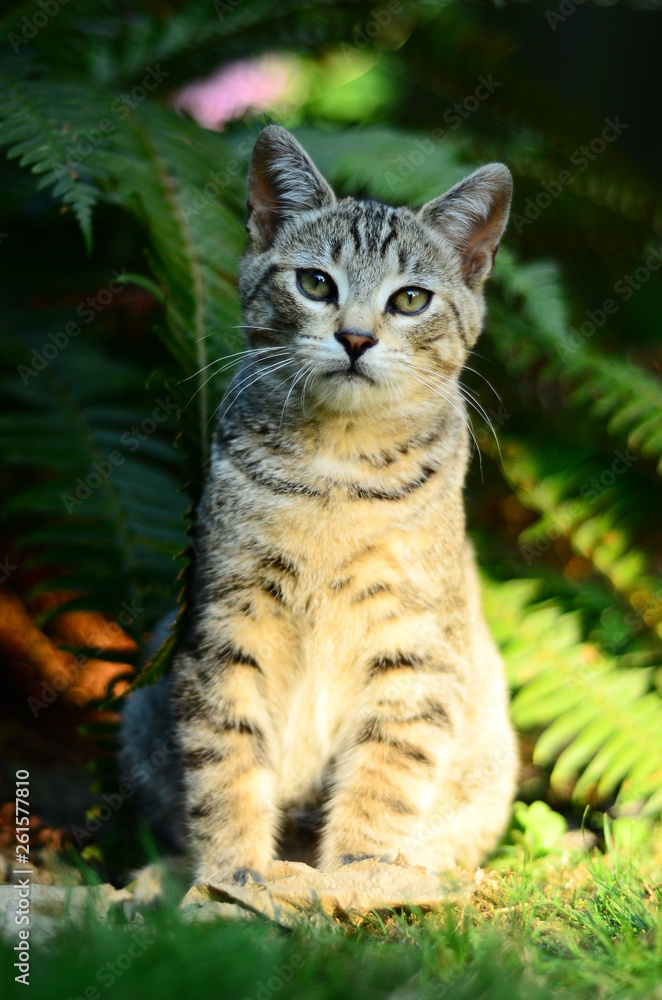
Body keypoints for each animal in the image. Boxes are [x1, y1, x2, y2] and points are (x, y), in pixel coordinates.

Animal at [122, 125, 520, 884]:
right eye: (315, 283)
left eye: (410, 299)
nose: (356, 338)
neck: (337, 467)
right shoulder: (225, 623)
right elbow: (225, 759)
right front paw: (233, 877)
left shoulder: (413, 647)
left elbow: (386, 773)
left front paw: (361, 874)